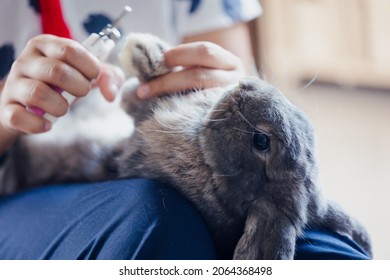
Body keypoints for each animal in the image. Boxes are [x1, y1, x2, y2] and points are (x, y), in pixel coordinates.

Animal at [0, 32, 372, 258]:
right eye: (300, 115)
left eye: (262, 142)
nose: (246, 86)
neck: (208, 157)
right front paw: (149, 51)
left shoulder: (143, 115)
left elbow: (135, 95)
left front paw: (139, 50)